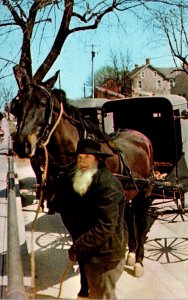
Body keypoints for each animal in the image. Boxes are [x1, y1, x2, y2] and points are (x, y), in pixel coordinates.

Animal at [11, 75, 153, 288]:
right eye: (18, 106)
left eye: (43, 103)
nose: (21, 144)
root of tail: (141, 137)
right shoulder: (69, 213)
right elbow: (80, 246)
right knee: (129, 217)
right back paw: (131, 254)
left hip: (144, 193)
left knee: (141, 222)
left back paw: (138, 262)